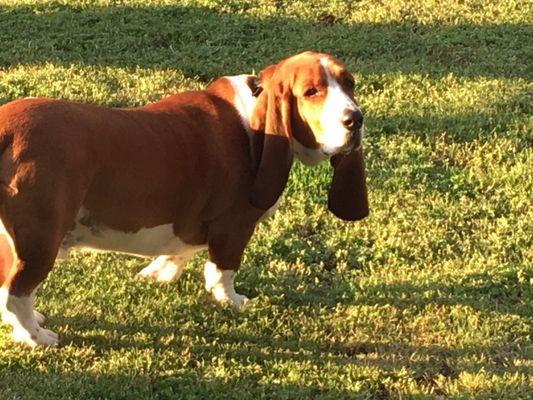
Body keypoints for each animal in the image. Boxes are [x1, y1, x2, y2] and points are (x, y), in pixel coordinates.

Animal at [0, 51, 366, 346]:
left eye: (349, 83)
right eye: (311, 92)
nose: (355, 119)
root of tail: (6, 130)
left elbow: (181, 249)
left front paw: (159, 273)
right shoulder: (234, 229)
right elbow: (222, 272)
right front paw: (233, 301)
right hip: (40, 242)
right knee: (14, 294)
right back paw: (35, 336)